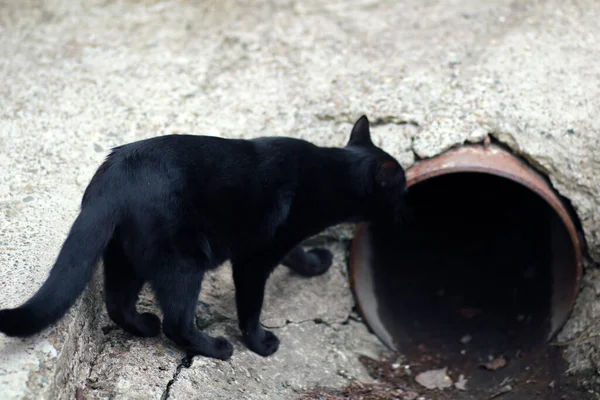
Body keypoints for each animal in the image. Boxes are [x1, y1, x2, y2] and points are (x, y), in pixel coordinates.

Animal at [0, 115, 406, 360]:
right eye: (401, 187)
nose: (407, 201)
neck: (329, 173)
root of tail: (114, 177)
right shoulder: (253, 259)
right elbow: (251, 308)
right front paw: (260, 344)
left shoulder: (272, 240)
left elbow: (296, 253)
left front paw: (315, 264)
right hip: (182, 261)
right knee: (177, 323)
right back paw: (216, 348)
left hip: (124, 256)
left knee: (119, 304)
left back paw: (144, 327)